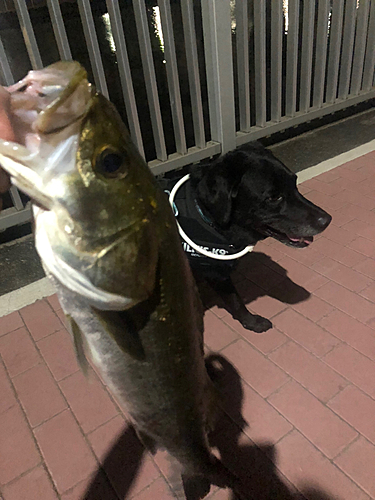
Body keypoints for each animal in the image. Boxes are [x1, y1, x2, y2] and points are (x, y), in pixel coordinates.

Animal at [159, 143, 332, 334]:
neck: (206, 215)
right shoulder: (216, 273)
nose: (326, 220)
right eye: (274, 197)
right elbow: (236, 301)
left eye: (294, 184)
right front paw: (252, 322)